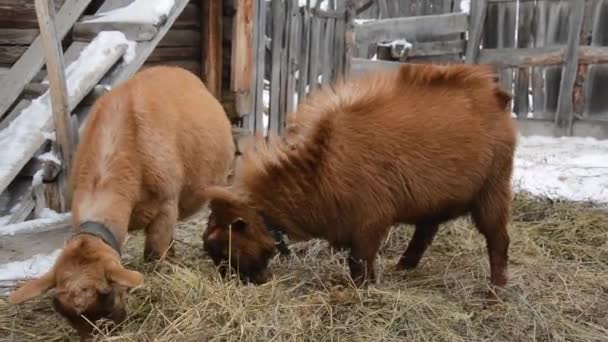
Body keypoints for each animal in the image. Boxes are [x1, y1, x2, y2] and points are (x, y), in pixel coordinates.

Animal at [204, 61, 516, 300]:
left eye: (226, 247)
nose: (234, 282)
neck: (321, 166)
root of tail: (495, 95)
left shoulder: (369, 224)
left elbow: (358, 263)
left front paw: (357, 292)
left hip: (492, 190)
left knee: (499, 242)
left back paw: (495, 293)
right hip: (436, 201)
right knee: (426, 232)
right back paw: (403, 266)